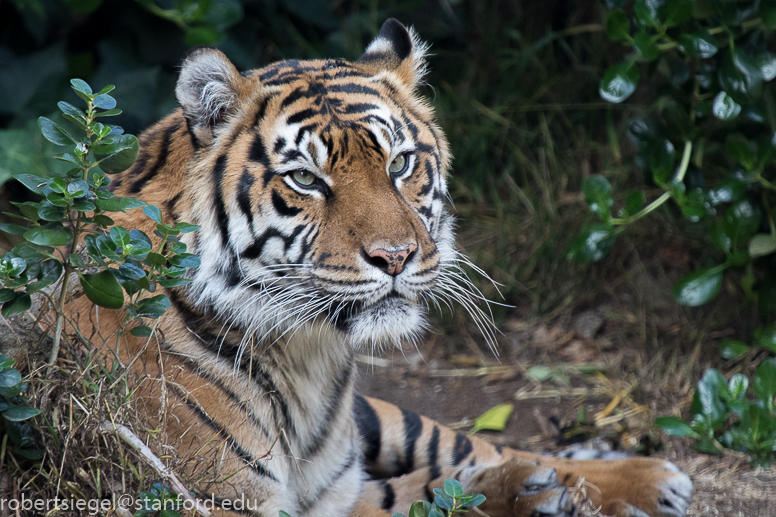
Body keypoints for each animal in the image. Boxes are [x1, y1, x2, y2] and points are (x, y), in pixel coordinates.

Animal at [71, 19, 692, 516]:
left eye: (399, 164)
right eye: (305, 179)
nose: (395, 256)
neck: (308, 361)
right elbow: (416, 494)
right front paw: (517, 493)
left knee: (469, 445)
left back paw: (638, 476)